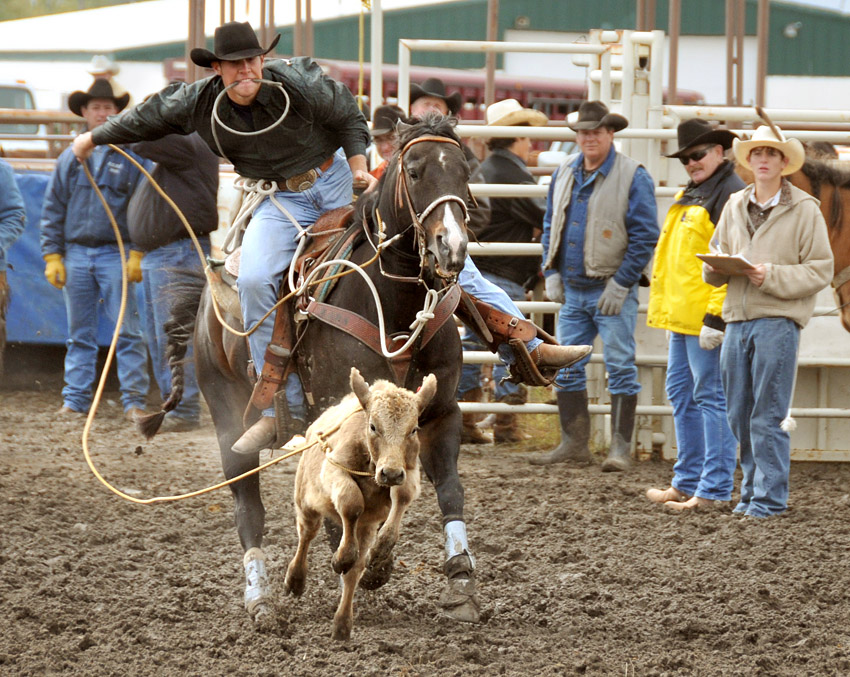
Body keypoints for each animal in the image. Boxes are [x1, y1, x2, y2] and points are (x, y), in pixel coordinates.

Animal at [284, 368, 438, 636]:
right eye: (373, 426)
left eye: (413, 429)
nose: (390, 473)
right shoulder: (334, 469)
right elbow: (351, 502)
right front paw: (341, 557)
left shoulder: (408, 473)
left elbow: (401, 497)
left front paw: (380, 550)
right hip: (305, 503)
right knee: (306, 537)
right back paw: (296, 579)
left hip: (365, 527)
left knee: (353, 571)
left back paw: (342, 623)